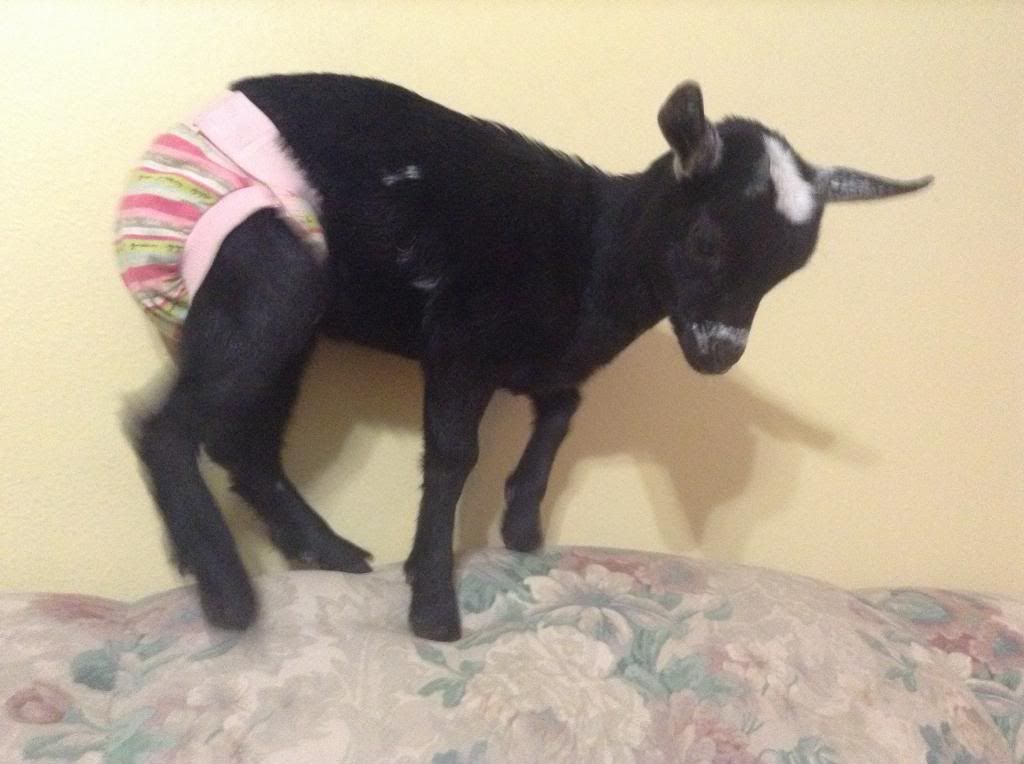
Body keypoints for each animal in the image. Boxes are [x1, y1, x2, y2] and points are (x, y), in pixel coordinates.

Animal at [118, 74, 931, 641]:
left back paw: (325, 551)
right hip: (267, 269)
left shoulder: (539, 362)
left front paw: (520, 523)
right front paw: (433, 606)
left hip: (289, 320)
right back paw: (226, 589)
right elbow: (453, 456)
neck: (592, 246)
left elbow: (563, 408)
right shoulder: (460, 338)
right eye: (706, 241)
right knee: (166, 425)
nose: (718, 354)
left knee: (243, 442)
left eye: (790, 271)